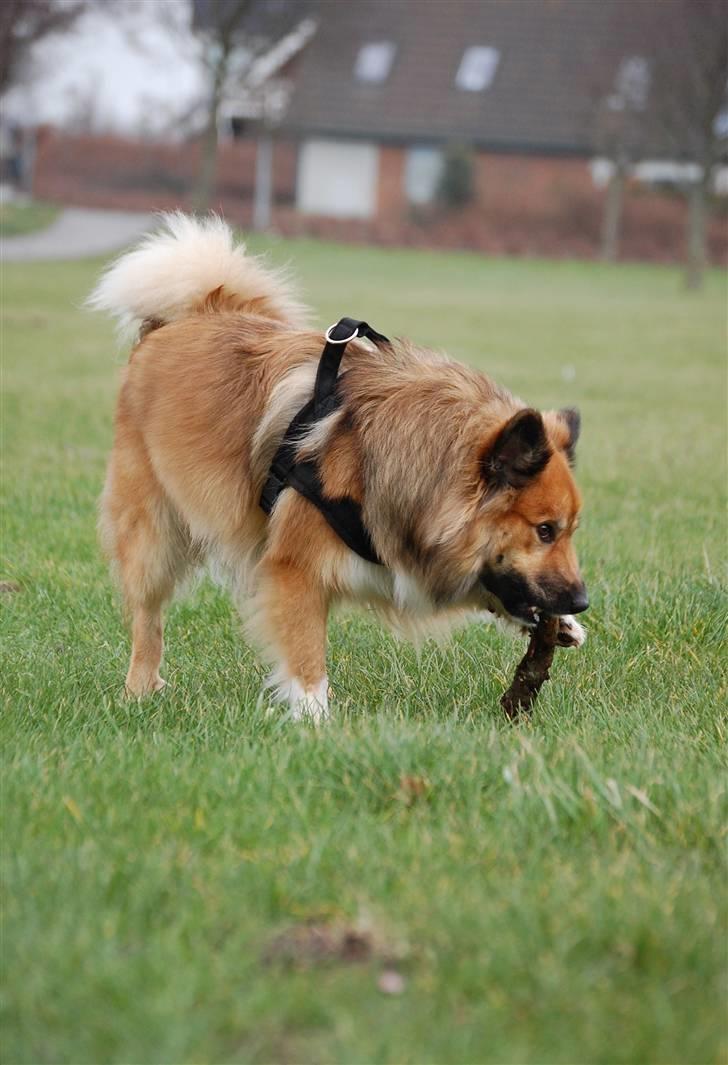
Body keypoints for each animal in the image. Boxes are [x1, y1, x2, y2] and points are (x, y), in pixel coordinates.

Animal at [89, 211, 587, 719]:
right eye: (545, 530)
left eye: (569, 531)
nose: (582, 601)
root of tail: (185, 318)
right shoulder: (296, 570)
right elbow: (307, 659)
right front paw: (314, 720)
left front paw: (559, 625)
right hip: (152, 534)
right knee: (147, 616)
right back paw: (140, 688)